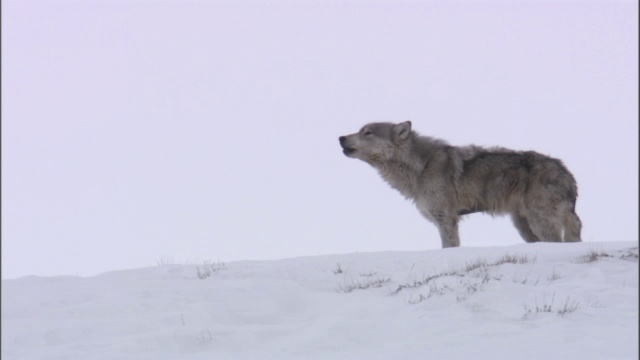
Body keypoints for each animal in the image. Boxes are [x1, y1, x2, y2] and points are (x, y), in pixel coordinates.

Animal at [338, 121, 584, 248]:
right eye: (360, 130)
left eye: (367, 132)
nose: (340, 137)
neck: (421, 166)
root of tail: (568, 174)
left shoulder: (446, 218)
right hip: (524, 227)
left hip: (539, 222)